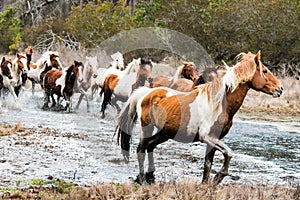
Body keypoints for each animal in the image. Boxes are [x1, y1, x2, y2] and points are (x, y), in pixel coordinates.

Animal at [115, 51, 284, 184]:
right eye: (264, 71)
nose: (280, 89)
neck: (219, 103)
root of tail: (145, 93)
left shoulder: (214, 140)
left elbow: (208, 165)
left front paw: (206, 185)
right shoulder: (207, 137)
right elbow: (229, 153)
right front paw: (218, 178)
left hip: (165, 133)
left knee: (150, 146)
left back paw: (150, 177)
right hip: (147, 128)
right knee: (141, 149)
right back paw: (143, 179)